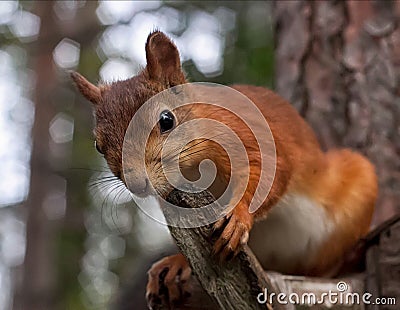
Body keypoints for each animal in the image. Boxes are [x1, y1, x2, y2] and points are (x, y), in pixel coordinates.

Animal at [72, 32, 378, 306]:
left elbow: (270, 172)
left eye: (166, 120)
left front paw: (238, 216)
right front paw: (179, 260)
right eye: (98, 145)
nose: (137, 183)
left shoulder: (251, 136)